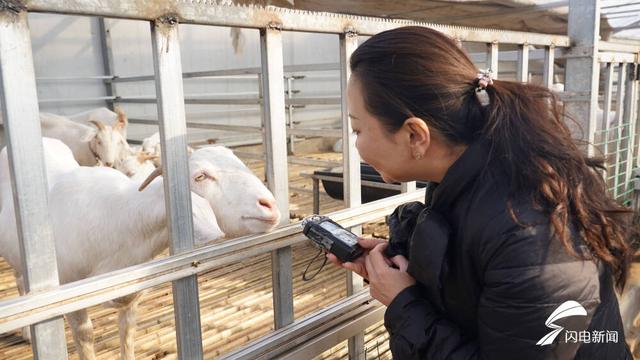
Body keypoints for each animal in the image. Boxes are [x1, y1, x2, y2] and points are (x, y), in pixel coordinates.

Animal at [0, 139, 225, 360]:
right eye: (201, 177)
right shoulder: (68, 291)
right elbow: (85, 336)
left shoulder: (132, 294)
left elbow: (127, 332)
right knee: (20, 283)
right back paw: (28, 334)